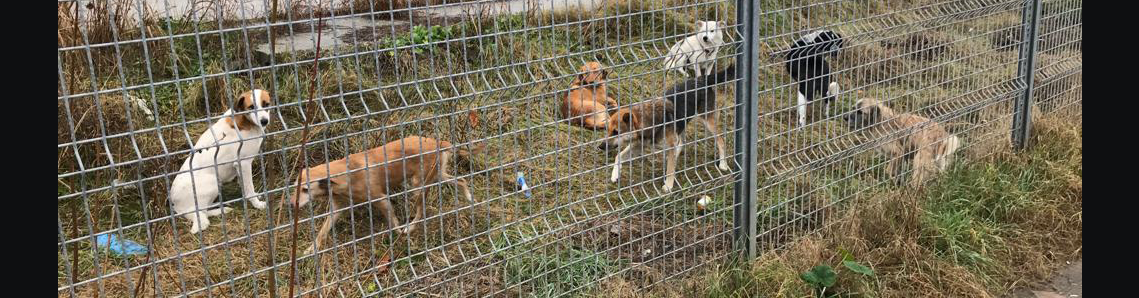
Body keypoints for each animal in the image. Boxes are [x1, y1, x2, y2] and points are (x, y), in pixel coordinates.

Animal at [168, 89, 273, 234]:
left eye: (266, 104)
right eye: (251, 107)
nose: (264, 121)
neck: (245, 121)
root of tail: (175, 206)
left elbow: (244, 186)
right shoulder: (244, 163)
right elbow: (249, 189)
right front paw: (256, 204)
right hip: (213, 182)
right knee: (202, 213)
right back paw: (220, 210)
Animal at [287, 135, 482, 254]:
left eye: (305, 189)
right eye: (295, 187)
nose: (289, 204)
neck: (347, 173)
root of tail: (438, 142)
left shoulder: (382, 200)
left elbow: (394, 224)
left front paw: (402, 239)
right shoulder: (336, 209)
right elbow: (321, 232)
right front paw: (310, 250)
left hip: (417, 186)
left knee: (421, 212)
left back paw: (410, 228)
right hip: (437, 175)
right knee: (461, 181)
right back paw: (470, 199)